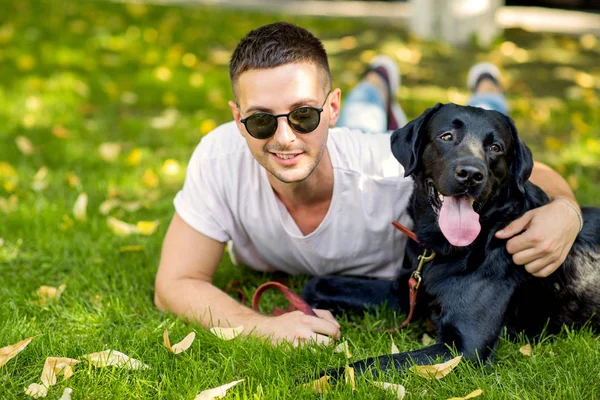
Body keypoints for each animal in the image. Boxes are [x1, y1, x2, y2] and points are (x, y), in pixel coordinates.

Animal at [304, 102, 600, 376]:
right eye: (446, 136)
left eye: (496, 148)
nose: (470, 174)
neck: (440, 249)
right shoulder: (403, 291)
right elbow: (316, 284)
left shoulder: (464, 346)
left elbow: (374, 363)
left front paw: (321, 378)